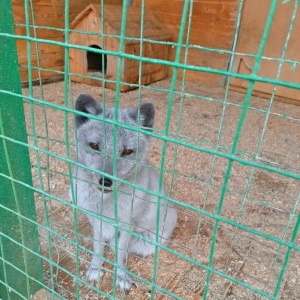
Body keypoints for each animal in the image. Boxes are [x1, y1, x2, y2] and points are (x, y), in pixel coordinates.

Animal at [69, 93, 178, 292]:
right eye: (94, 145)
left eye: (127, 151)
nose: (105, 181)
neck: (106, 202)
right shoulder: (96, 221)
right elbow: (97, 246)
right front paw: (95, 267)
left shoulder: (127, 225)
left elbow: (120, 253)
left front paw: (121, 276)